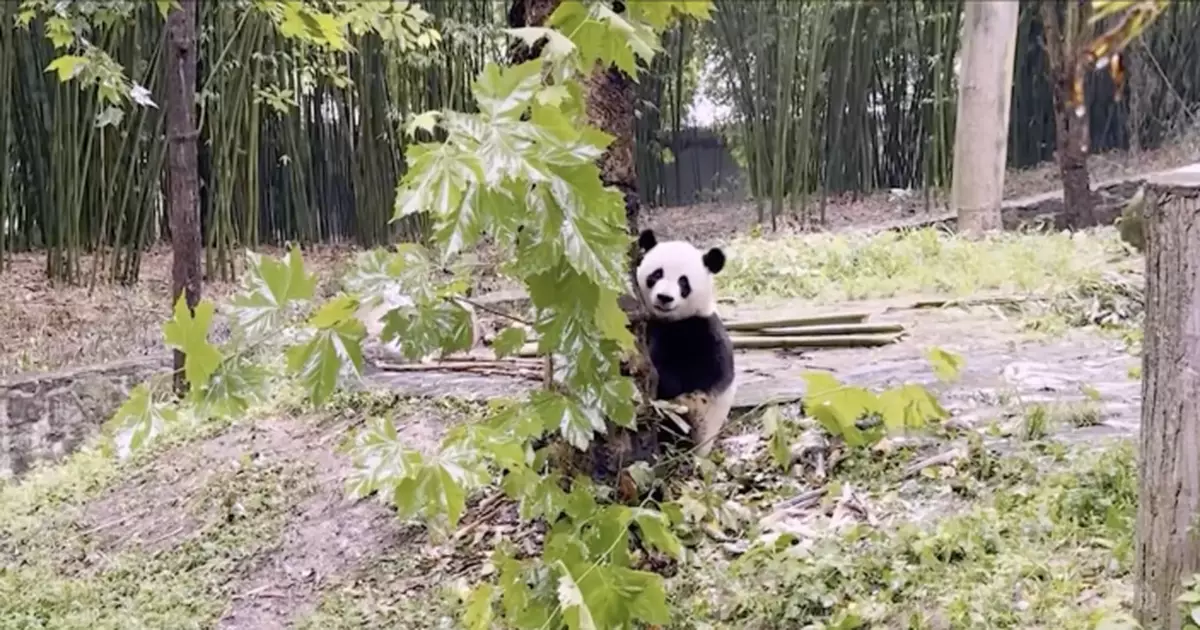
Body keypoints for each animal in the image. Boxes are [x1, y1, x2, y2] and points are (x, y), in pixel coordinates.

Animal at [633, 228, 734, 453]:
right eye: (657, 274)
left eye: (683, 282)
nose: (664, 298)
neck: (667, 320)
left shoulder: (700, 331)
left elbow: (687, 376)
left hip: (691, 421)